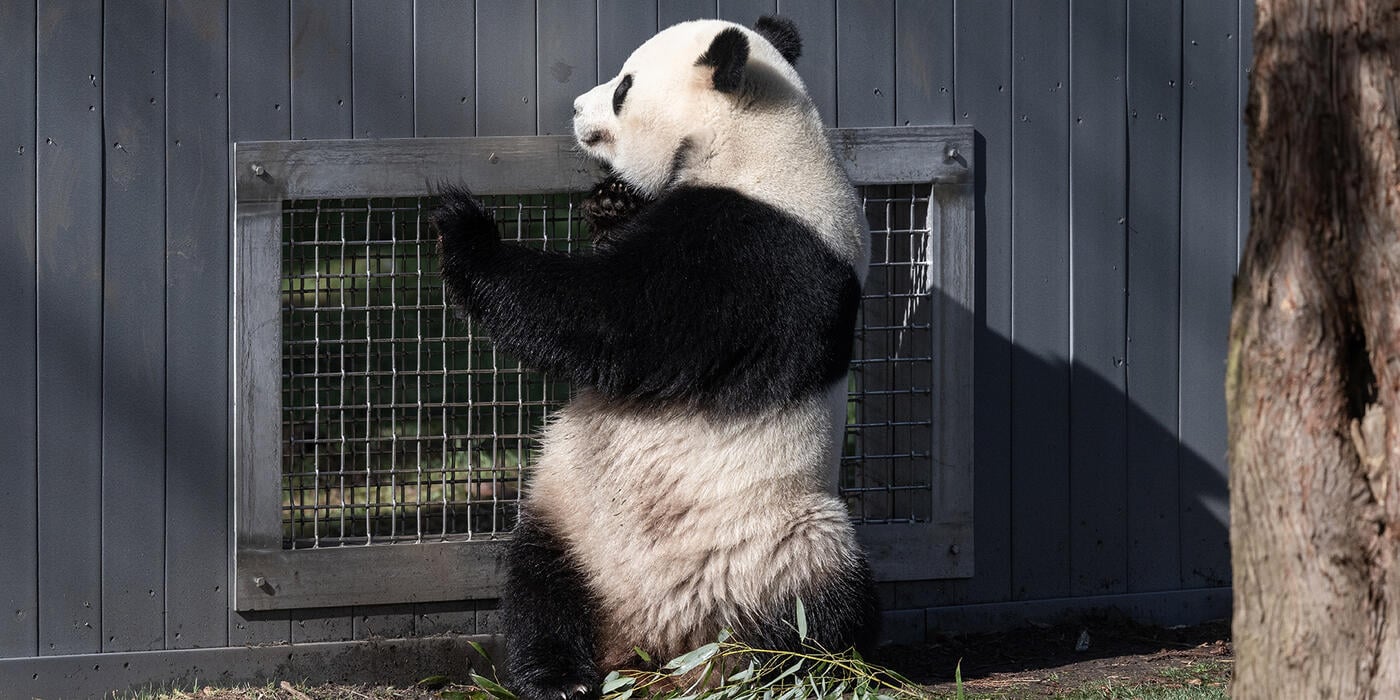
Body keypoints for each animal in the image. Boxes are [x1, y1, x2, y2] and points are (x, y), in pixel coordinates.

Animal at [432, 15, 878, 700]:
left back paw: (794, 668)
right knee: (539, 587)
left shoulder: (763, 248)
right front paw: (611, 202)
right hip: (570, 517)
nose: (577, 108)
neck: (757, 140)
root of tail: (663, 643)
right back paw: (558, 676)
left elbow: (614, 319)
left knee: (830, 603)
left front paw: (466, 231)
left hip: (787, 536)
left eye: (623, 87)